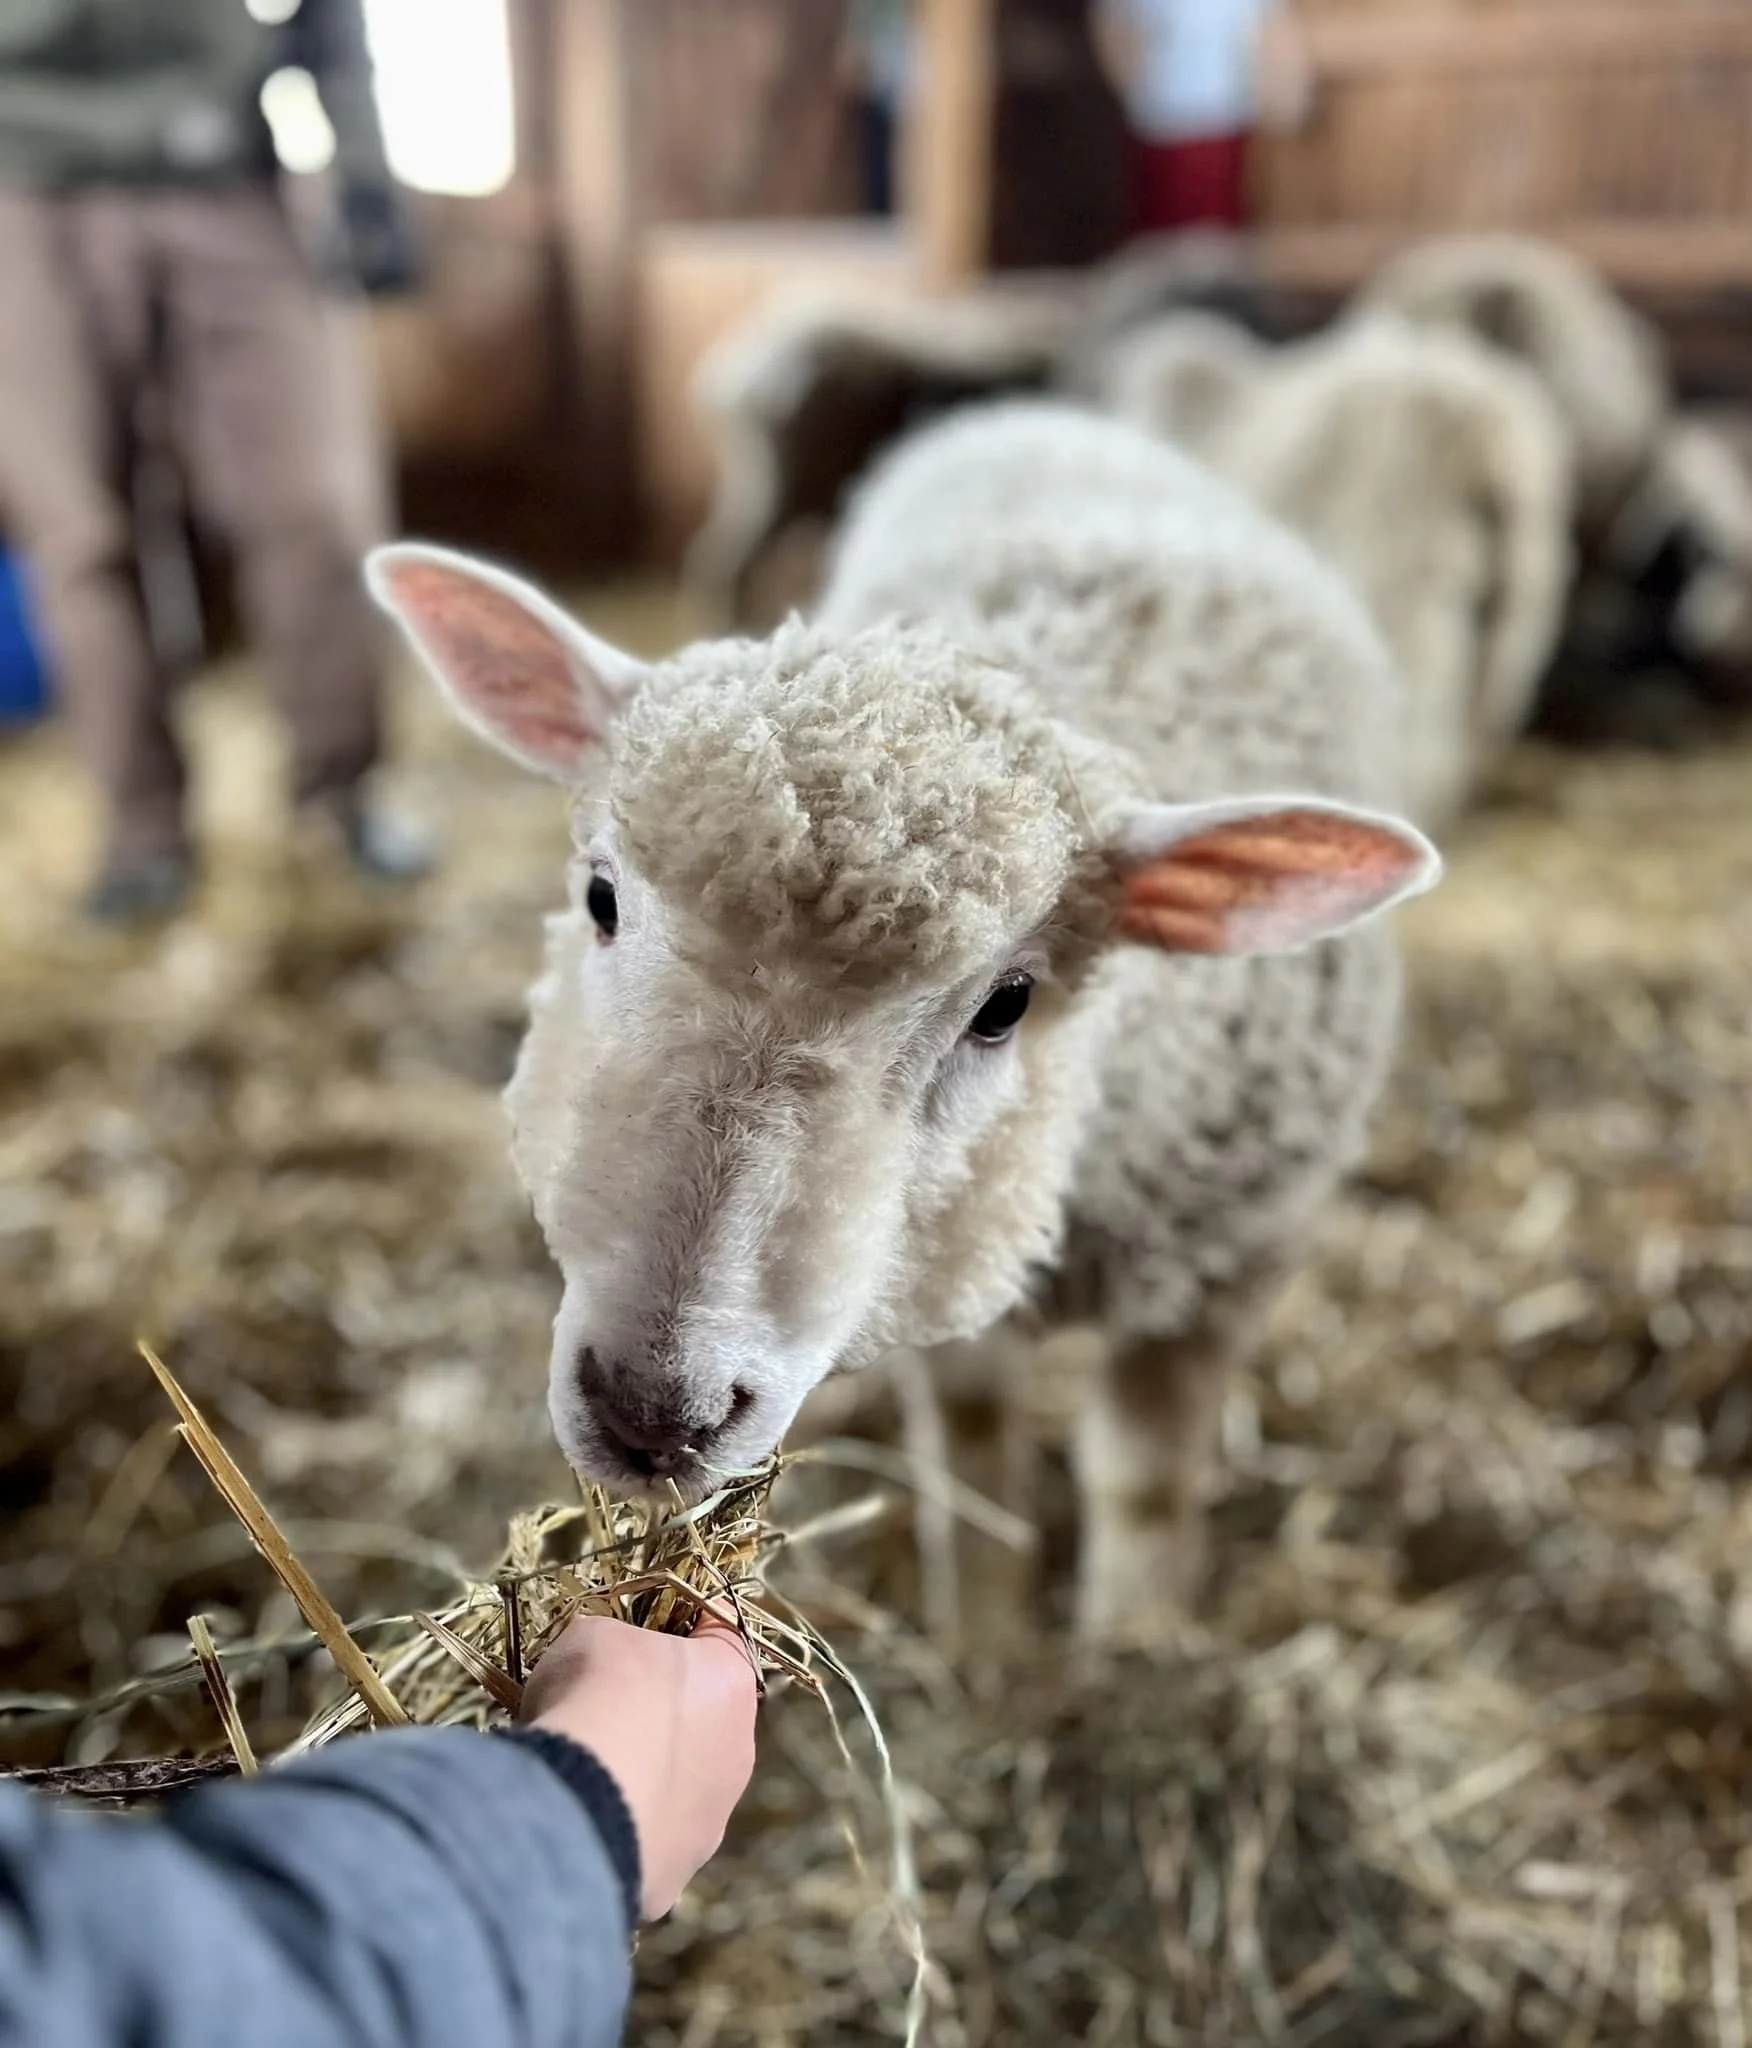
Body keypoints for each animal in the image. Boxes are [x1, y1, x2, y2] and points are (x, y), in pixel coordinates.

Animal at [368, 400, 1440, 1643]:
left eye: (1007, 1003)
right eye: (599, 896)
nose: (654, 1412)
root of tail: (1049, 412)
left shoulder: (1230, 1257)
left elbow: (1149, 1476)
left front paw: (1131, 1647)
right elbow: (973, 1455)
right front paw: (987, 1640)